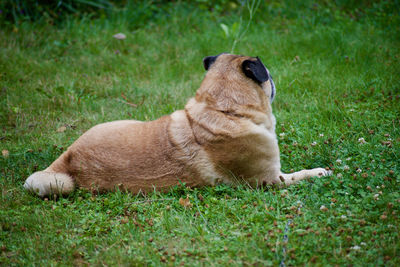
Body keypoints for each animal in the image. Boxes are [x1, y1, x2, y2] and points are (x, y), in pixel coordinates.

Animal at [25, 53, 332, 198]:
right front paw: (320, 171)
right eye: (266, 74)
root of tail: (68, 161)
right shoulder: (269, 180)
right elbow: (303, 175)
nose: (274, 78)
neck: (224, 109)